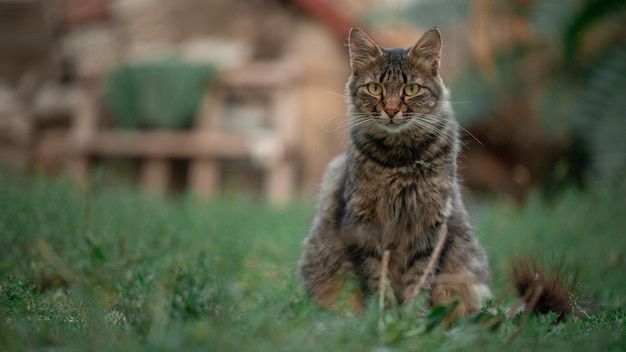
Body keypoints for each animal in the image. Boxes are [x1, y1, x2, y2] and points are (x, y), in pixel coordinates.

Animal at [300, 28, 490, 320]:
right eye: (375, 88)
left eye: (410, 89)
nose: (390, 110)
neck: (400, 160)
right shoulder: (363, 224)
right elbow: (377, 278)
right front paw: (384, 317)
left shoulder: (430, 227)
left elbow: (419, 279)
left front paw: (412, 320)